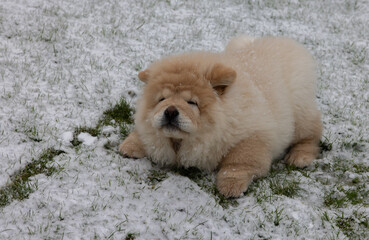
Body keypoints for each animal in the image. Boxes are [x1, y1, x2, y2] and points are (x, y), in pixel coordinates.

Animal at [119, 35, 320, 197]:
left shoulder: (254, 135)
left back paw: (299, 157)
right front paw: (129, 146)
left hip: (300, 115)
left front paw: (230, 186)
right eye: (162, 99)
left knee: (311, 135)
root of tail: (287, 44)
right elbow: (146, 134)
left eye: (192, 102)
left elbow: (238, 162)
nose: (170, 111)